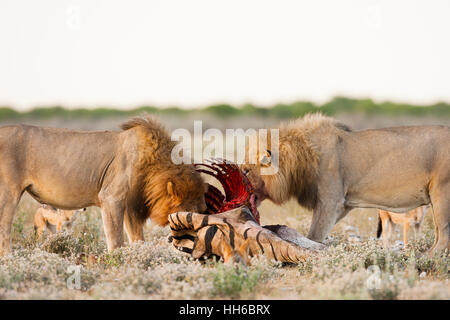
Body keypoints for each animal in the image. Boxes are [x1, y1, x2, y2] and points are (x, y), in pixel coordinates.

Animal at [0, 116, 207, 256]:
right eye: (188, 218)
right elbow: (115, 238)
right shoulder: (111, 197)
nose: (197, 244)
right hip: (9, 193)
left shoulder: (130, 205)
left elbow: (136, 238)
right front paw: (117, 259)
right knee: (4, 227)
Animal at [243, 114, 450, 254]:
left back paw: (428, 257)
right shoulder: (343, 205)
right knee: (439, 233)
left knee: (443, 234)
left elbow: (314, 234)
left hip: (442, 192)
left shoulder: (330, 201)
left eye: (245, 171)